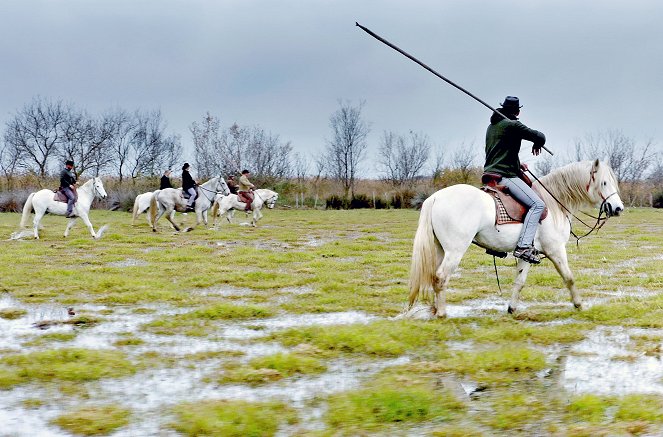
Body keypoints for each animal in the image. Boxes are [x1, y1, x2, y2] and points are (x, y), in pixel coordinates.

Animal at [408, 160, 624, 316]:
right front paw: (579, 304)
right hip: (455, 251)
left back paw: (436, 309)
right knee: (441, 277)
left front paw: (511, 309)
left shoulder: (528, 253)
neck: (553, 203)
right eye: (604, 182)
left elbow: (519, 282)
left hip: (440, 249)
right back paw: (442, 313)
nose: (618, 208)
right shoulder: (555, 250)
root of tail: (435, 197)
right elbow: (569, 278)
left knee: (434, 276)